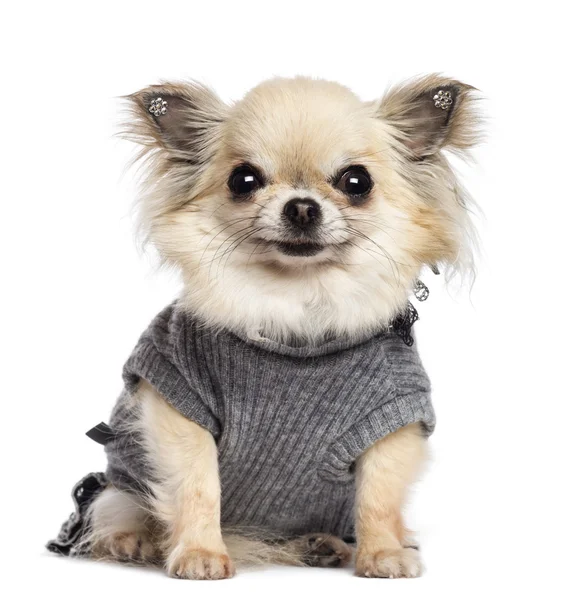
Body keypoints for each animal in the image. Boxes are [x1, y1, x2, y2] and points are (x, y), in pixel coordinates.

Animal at [49, 74, 480, 576]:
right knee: (118, 508)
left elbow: (379, 497)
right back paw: (130, 541)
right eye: (244, 180)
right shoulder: (180, 409)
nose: (301, 206)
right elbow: (198, 489)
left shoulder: (393, 421)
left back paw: (323, 544)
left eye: (357, 182)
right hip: (119, 486)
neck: (298, 307)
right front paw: (200, 553)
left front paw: (384, 554)